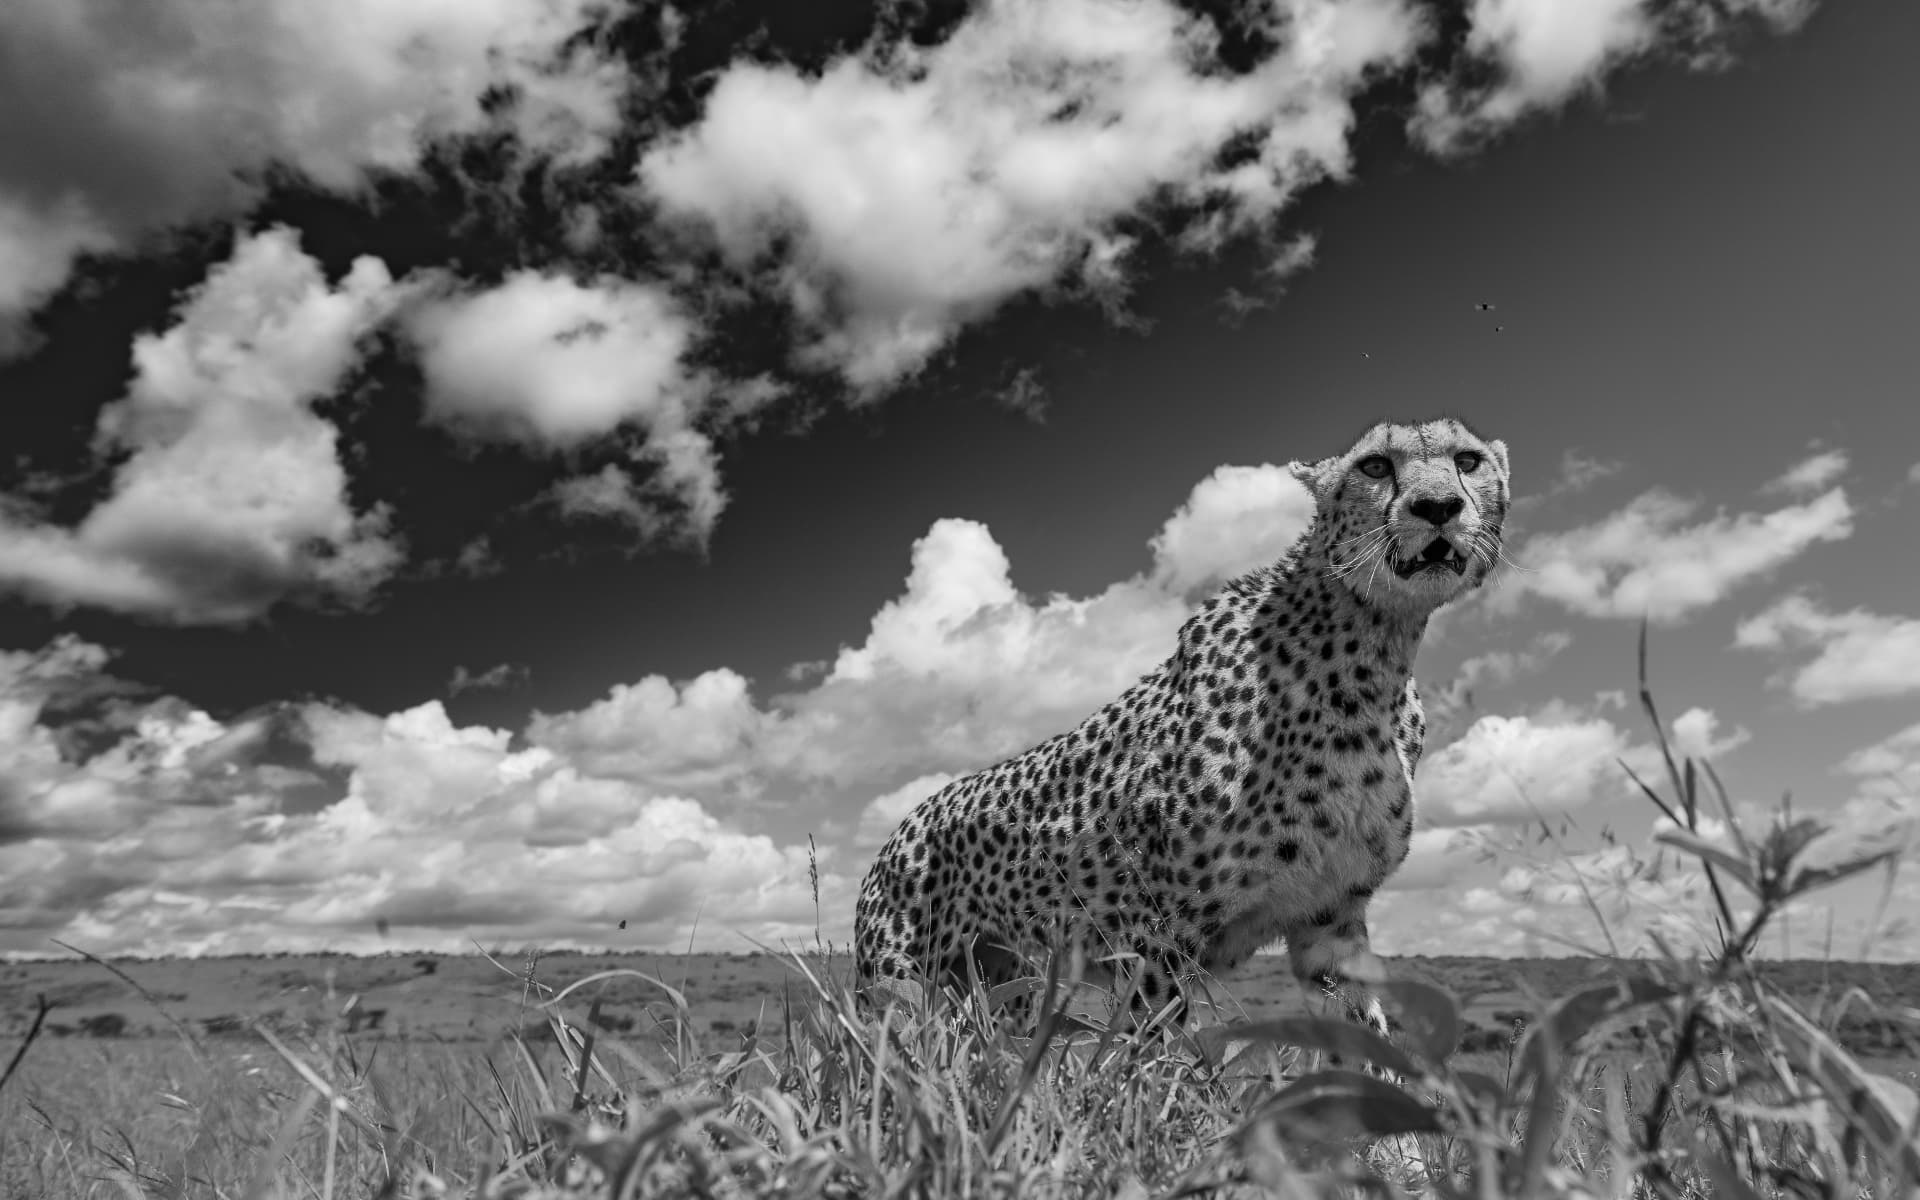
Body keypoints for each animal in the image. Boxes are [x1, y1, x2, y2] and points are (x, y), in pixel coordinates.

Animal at [854, 416, 1512, 1040]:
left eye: (1468, 460)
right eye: (1375, 465)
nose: (1438, 507)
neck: (1372, 657)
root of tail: (906, 823)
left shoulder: (1331, 919)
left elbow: (1364, 1040)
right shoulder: (1155, 931)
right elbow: (1156, 1054)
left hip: (1004, 982)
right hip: (896, 990)